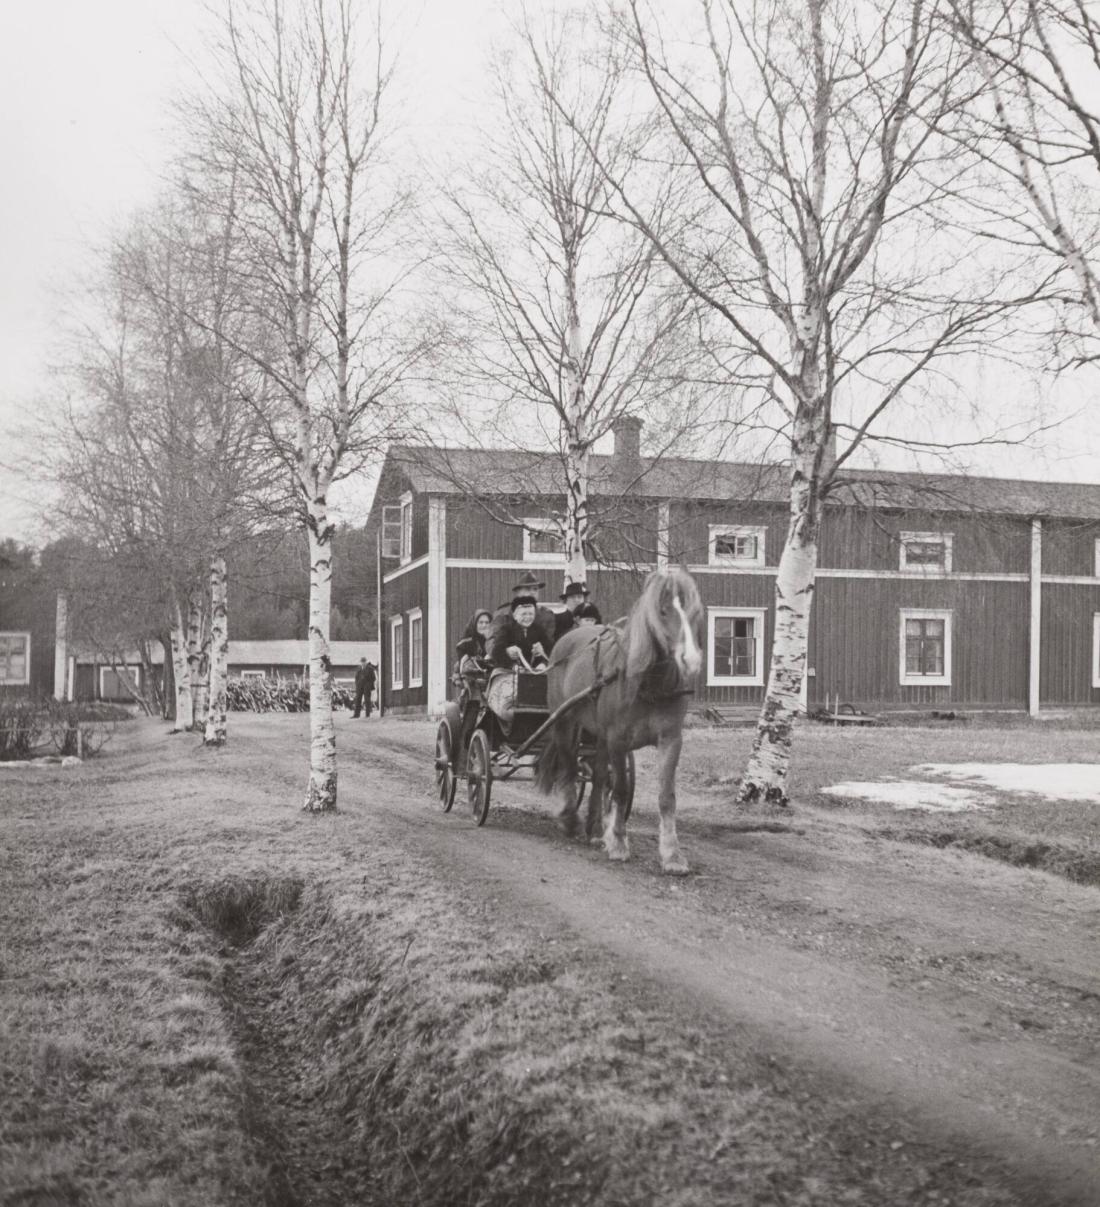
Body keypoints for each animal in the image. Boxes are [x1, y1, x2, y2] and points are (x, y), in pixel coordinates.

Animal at [533, 569, 705, 873]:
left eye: (694, 612)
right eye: (662, 611)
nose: (691, 660)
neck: (648, 683)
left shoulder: (671, 739)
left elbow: (666, 796)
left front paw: (672, 854)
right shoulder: (618, 739)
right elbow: (622, 790)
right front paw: (619, 843)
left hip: (599, 736)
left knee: (599, 776)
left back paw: (594, 828)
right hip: (565, 722)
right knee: (568, 767)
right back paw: (570, 819)